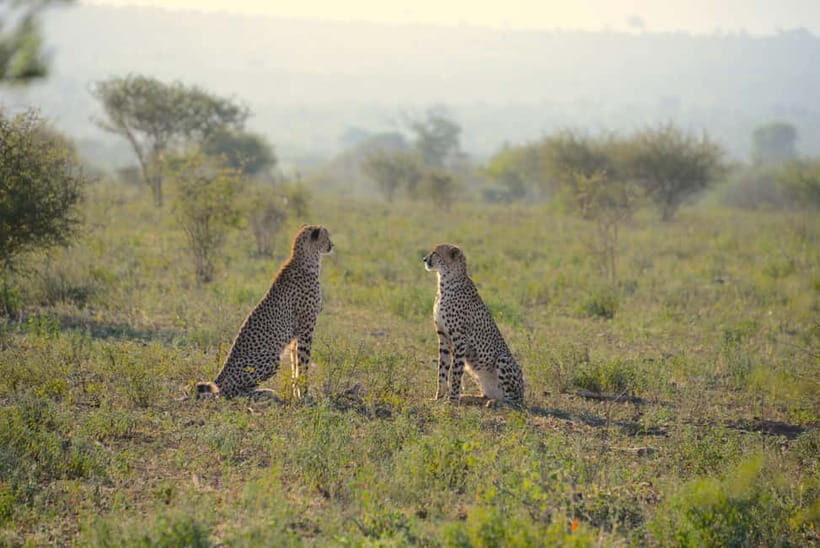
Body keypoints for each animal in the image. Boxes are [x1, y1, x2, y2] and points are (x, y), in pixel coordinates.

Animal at [196, 225, 333, 400]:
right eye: (326, 237)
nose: (332, 245)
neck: (308, 259)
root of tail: (220, 375)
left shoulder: (296, 336)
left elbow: (295, 365)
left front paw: (296, 393)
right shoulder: (305, 329)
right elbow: (303, 365)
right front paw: (305, 395)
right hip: (272, 358)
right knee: (229, 392)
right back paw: (263, 393)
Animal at [423, 243, 525, 407]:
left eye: (435, 253)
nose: (424, 259)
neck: (446, 282)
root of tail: (524, 394)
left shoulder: (460, 341)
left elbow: (455, 372)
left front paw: (452, 400)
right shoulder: (443, 337)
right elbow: (442, 370)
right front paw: (439, 397)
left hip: (503, 360)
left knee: (514, 401)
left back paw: (497, 403)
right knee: (486, 395)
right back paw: (470, 397)